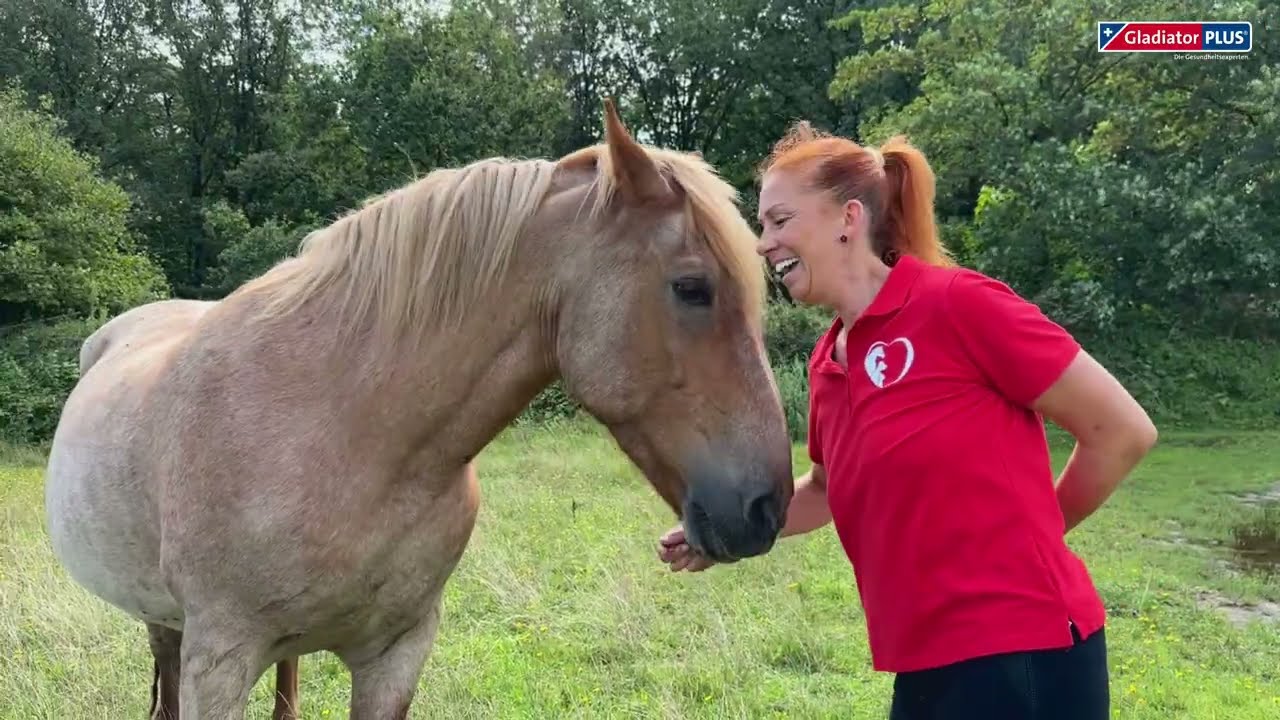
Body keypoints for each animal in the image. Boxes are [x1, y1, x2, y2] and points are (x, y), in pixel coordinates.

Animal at [43, 99, 795, 719]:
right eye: (692, 288)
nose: (767, 508)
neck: (347, 432)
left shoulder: (397, 654)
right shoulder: (219, 661)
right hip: (168, 628)